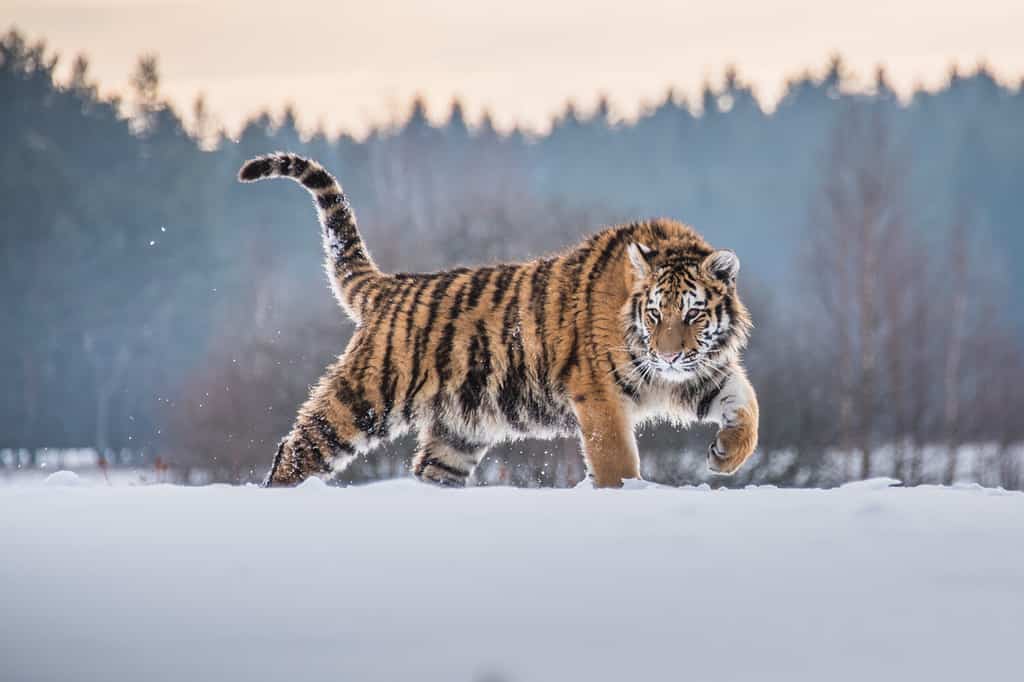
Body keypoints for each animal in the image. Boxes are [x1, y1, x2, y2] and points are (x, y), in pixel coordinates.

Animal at [238, 152, 758, 488]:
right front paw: (627, 494)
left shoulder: (701, 370)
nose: (667, 356)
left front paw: (726, 456)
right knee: (296, 450)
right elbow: (616, 461)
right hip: (362, 399)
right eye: (654, 314)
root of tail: (389, 286)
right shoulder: (600, 395)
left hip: (459, 431)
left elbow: (746, 405)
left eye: (692, 313)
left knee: (429, 470)